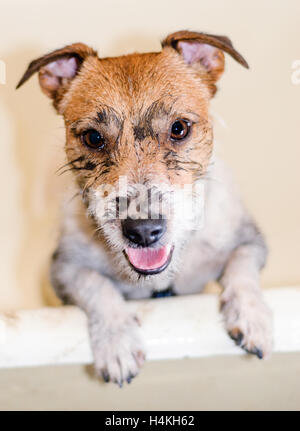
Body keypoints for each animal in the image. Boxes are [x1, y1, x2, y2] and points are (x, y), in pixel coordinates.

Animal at [17, 32, 274, 386]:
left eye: (179, 128)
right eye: (93, 137)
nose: (142, 231)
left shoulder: (249, 240)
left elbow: (242, 268)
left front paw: (251, 316)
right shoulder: (64, 269)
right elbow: (96, 287)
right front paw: (117, 343)